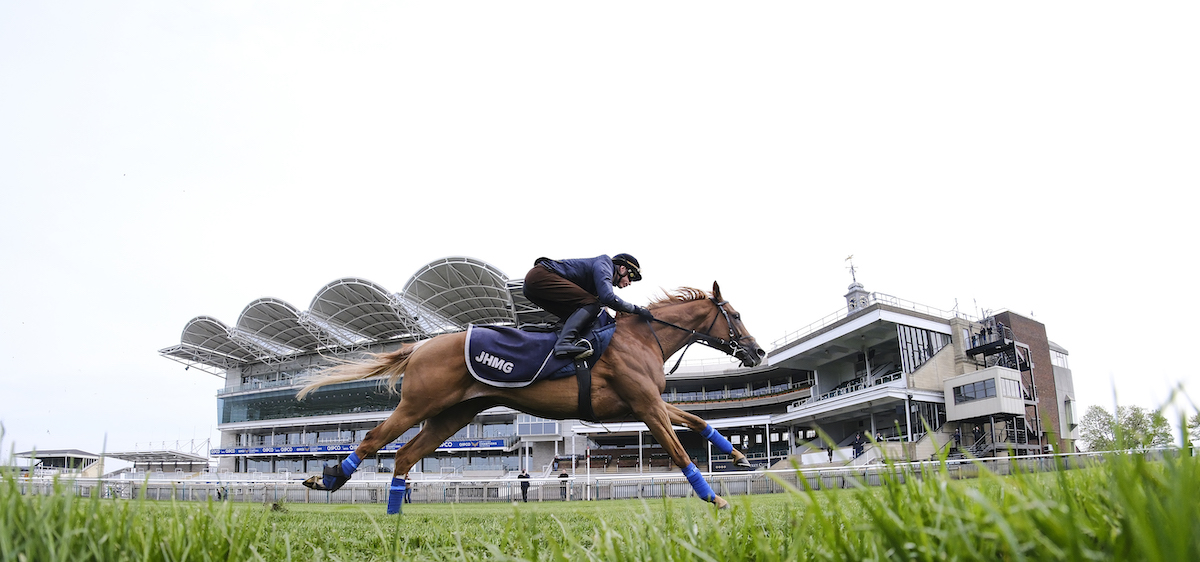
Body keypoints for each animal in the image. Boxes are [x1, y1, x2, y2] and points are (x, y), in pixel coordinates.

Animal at [300, 283, 768, 511]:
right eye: (736, 315)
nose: (758, 352)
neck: (640, 338)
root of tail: (419, 346)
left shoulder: (646, 403)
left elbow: (700, 421)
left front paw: (740, 456)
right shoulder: (645, 405)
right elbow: (679, 450)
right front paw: (714, 497)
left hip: (452, 415)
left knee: (403, 454)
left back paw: (393, 516)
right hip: (420, 404)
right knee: (373, 439)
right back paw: (329, 477)